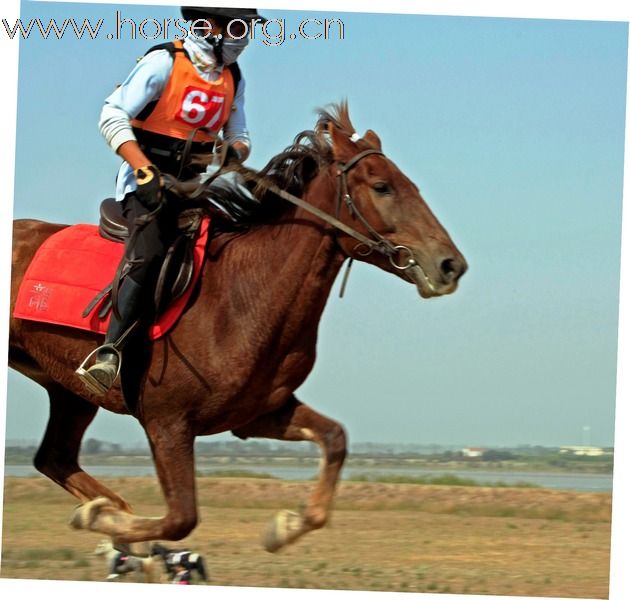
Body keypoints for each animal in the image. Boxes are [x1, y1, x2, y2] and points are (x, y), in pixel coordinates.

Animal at [7, 103, 466, 552]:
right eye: (382, 186)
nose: (450, 265)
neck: (241, 296)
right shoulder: (167, 423)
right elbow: (181, 519)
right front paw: (109, 524)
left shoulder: (258, 413)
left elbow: (335, 439)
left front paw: (285, 527)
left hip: (68, 390)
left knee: (53, 457)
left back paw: (106, 509)